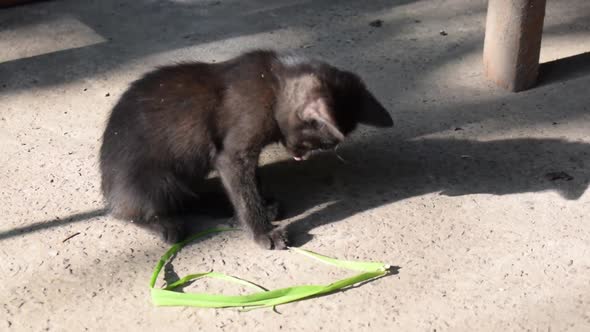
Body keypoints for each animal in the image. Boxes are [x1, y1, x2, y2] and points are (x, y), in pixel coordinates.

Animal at [99, 50, 396, 249]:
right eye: (315, 143)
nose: (300, 156)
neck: (274, 81)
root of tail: (109, 190)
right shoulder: (233, 155)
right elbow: (244, 192)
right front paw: (262, 231)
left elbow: (253, 181)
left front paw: (263, 205)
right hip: (156, 179)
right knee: (135, 211)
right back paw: (165, 225)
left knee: (187, 197)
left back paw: (220, 204)